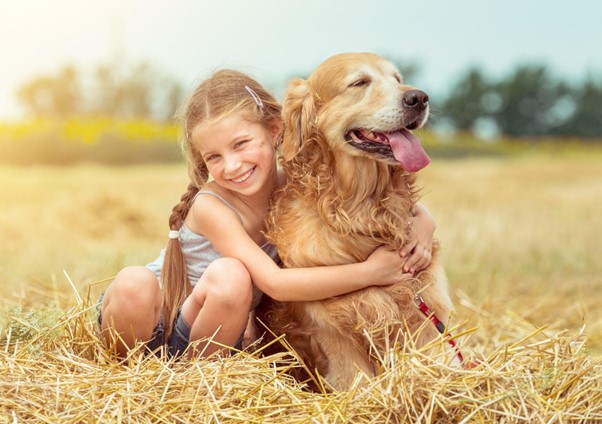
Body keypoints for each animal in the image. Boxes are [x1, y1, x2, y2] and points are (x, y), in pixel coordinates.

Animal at [253, 52, 454, 390]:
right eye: (359, 82)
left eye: (398, 79)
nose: (420, 97)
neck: (361, 211)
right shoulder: (329, 325)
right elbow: (356, 378)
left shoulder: (424, 305)